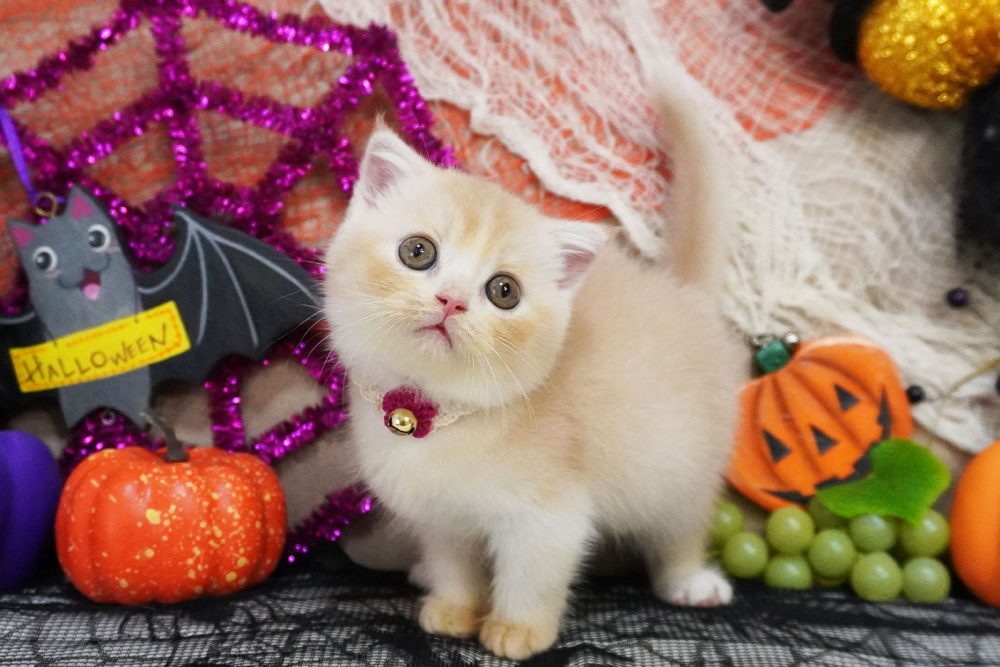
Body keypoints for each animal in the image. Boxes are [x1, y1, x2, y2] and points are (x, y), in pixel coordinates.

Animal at [322, 55, 743, 660]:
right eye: (417, 251)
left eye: (504, 291)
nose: (451, 300)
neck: (436, 414)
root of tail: (682, 292)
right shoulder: (440, 517)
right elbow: (454, 564)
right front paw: (451, 609)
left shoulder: (548, 517)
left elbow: (533, 573)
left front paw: (517, 630)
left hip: (681, 461)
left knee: (681, 526)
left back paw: (690, 581)